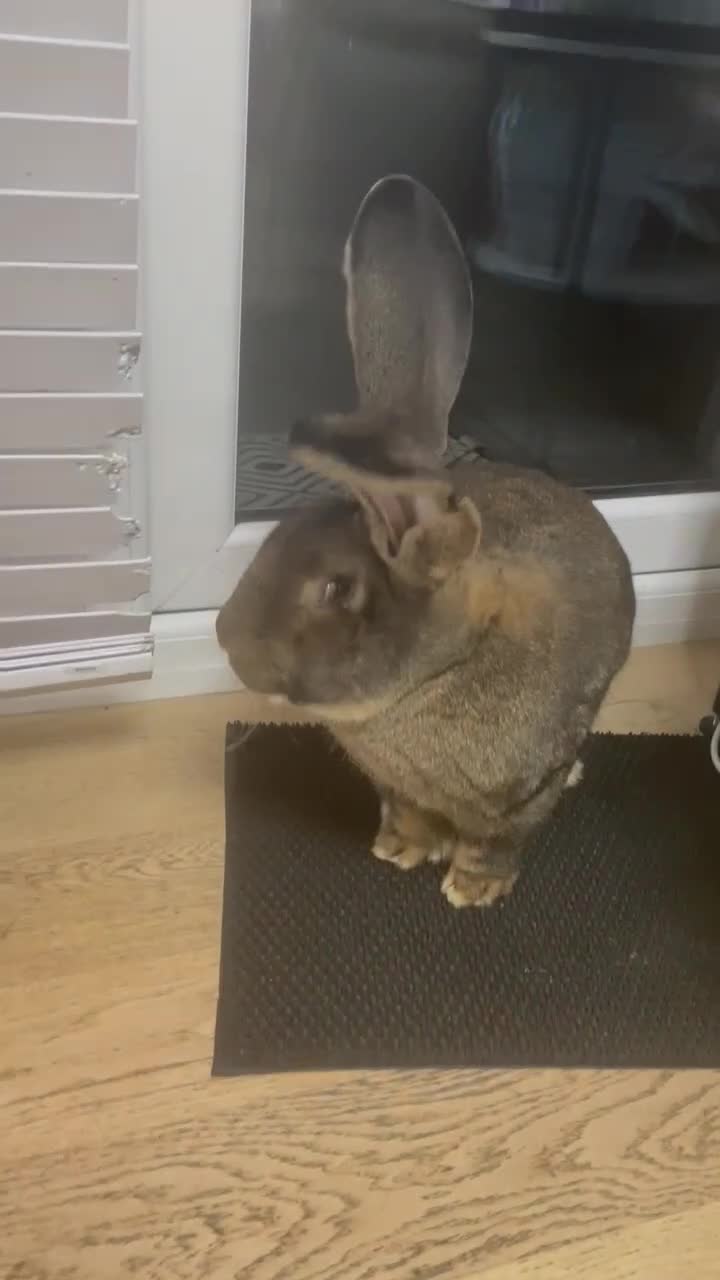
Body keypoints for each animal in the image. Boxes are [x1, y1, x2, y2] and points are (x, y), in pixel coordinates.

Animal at [216, 174, 635, 908]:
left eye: (337, 587)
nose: (222, 636)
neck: (446, 664)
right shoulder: (397, 787)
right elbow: (409, 814)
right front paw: (398, 851)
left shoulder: (520, 797)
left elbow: (497, 843)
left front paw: (471, 890)